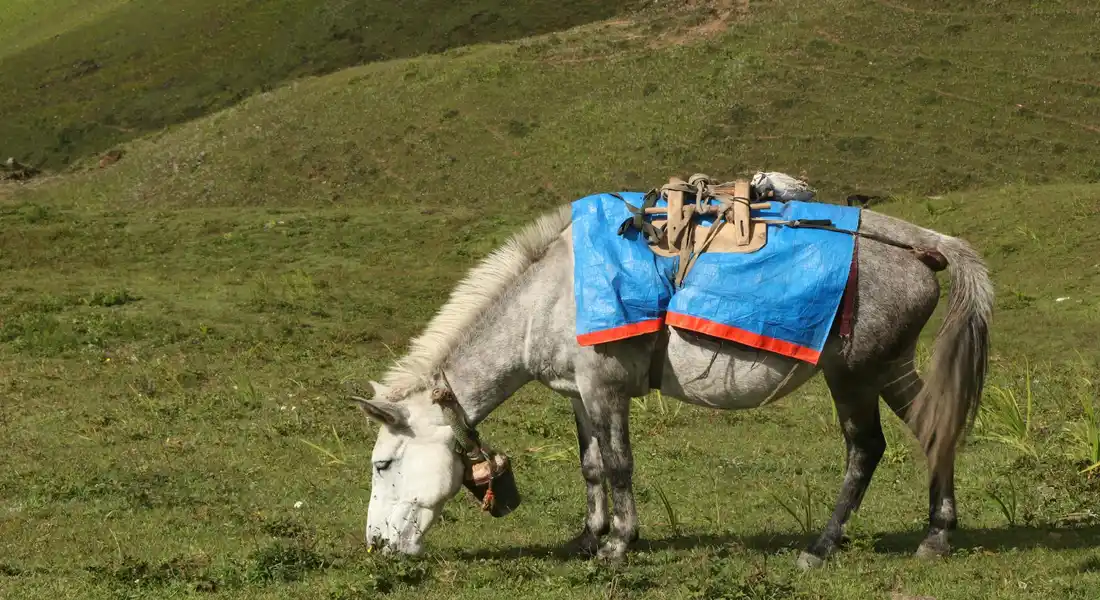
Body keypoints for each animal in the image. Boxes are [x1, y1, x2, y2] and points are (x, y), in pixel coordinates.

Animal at [350, 196, 992, 568]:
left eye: (383, 464)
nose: (378, 546)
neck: (553, 292)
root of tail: (923, 246)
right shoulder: (580, 394)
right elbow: (590, 466)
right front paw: (589, 537)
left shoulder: (606, 387)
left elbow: (619, 465)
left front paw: (618, 545)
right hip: (892, 367)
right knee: (934, 431)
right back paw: (936, 536)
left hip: (853, 374)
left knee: (865, 448)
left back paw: (821, 546)